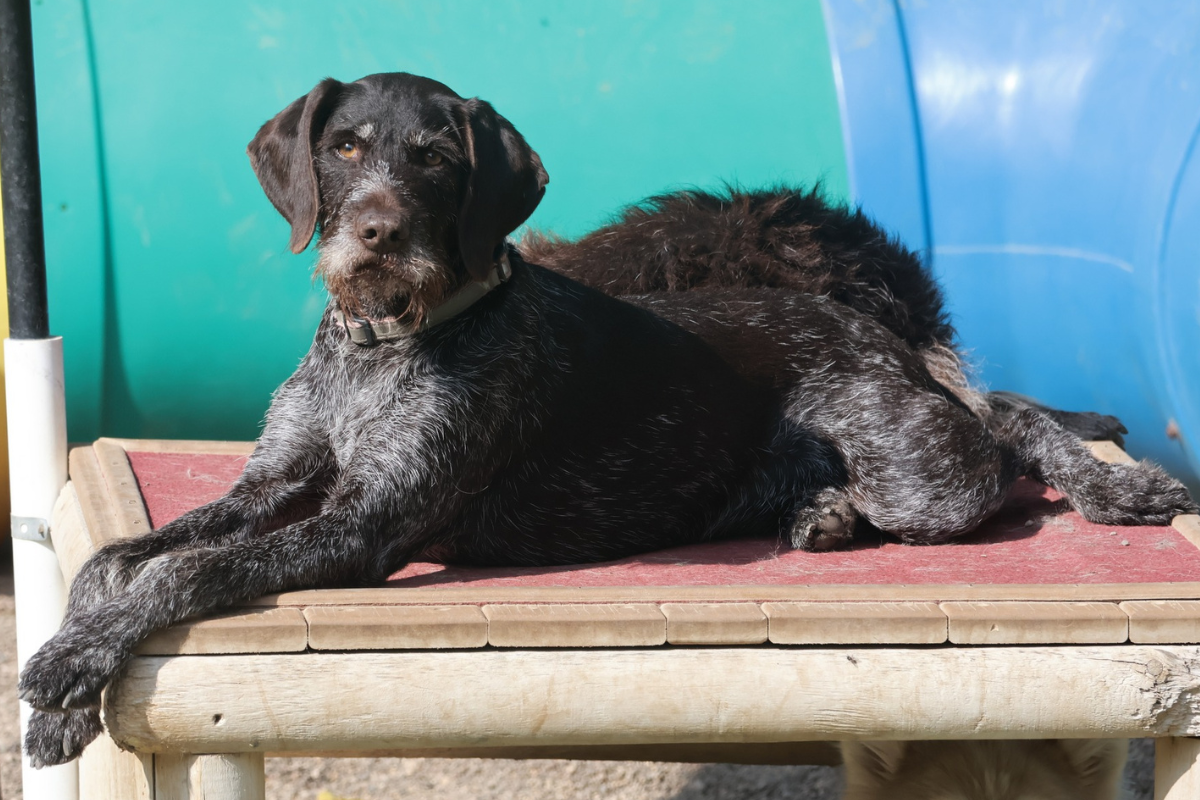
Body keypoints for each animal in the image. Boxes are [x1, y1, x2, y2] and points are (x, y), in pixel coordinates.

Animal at [21, 71, 1200, 767]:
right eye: (345, 147)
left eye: (433, 157)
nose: (376, 234)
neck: (384, 345)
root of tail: (870, 327)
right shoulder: (275, 482)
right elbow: (119, 558)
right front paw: (72, 667)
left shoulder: (359, 525)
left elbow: (183, 572)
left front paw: (70, 669)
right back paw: (820, 513)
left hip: (921, 471)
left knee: (1001, 430)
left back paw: (1118, 484)